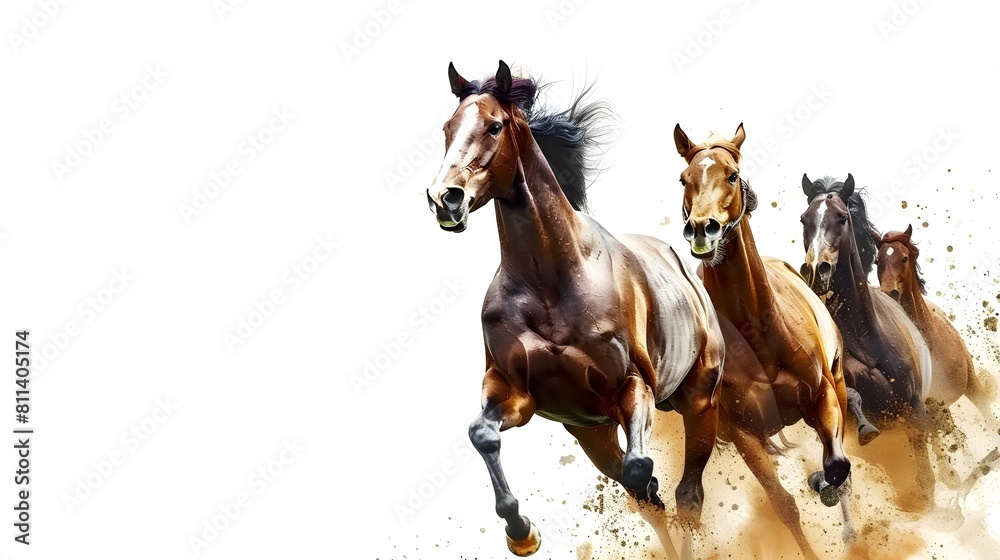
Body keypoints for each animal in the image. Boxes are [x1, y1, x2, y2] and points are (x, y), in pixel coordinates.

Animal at [427, 61, 726, 558]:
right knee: (651, 498)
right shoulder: (515, 391)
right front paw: (521, 532)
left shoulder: (632, 386)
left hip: (700, 401)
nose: (444, 199)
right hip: (591, 433)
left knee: (686, 497)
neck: (552, 282)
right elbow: (482, 433)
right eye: (448, 129)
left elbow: (641, 469)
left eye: (494, 126)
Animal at [673, 123, 852, 559]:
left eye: (732, 175)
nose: (702, 230)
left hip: (838, 383)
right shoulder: (743, 431)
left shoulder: (823, 394)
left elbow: (837, 467)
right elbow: (782, 503)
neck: (758, 333)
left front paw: (824, 484)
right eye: (684, 179)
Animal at [800, 174, 937, 510]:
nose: (816, 269)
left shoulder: (915, 407)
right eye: (804, 219)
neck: (865, 336)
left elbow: (926, 472)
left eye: (842, 217)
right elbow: (850, 394)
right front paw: (865, 427)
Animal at [874, 225, 1000, 487]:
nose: (889, 293)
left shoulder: (971, 383)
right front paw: (947, 475)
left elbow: (985, 411)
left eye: (904, 258)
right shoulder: (921, 406)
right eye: (877, 261)